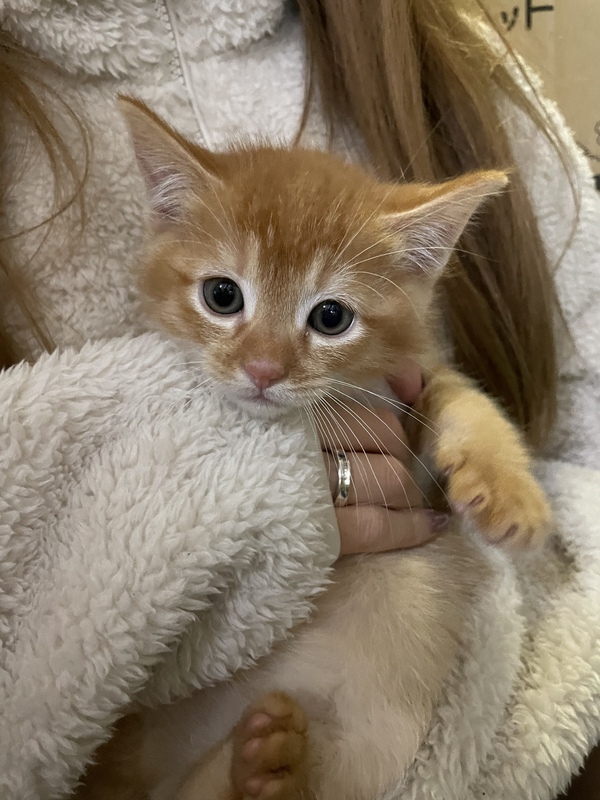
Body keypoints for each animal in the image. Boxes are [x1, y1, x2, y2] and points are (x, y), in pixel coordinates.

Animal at [75, 97, 551, 800]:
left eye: (331, 318)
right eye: (222, 295)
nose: (264, 369)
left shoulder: (413, 388)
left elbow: (468, 399)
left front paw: (510, 493)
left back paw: (268, 765)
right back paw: (262, 765)